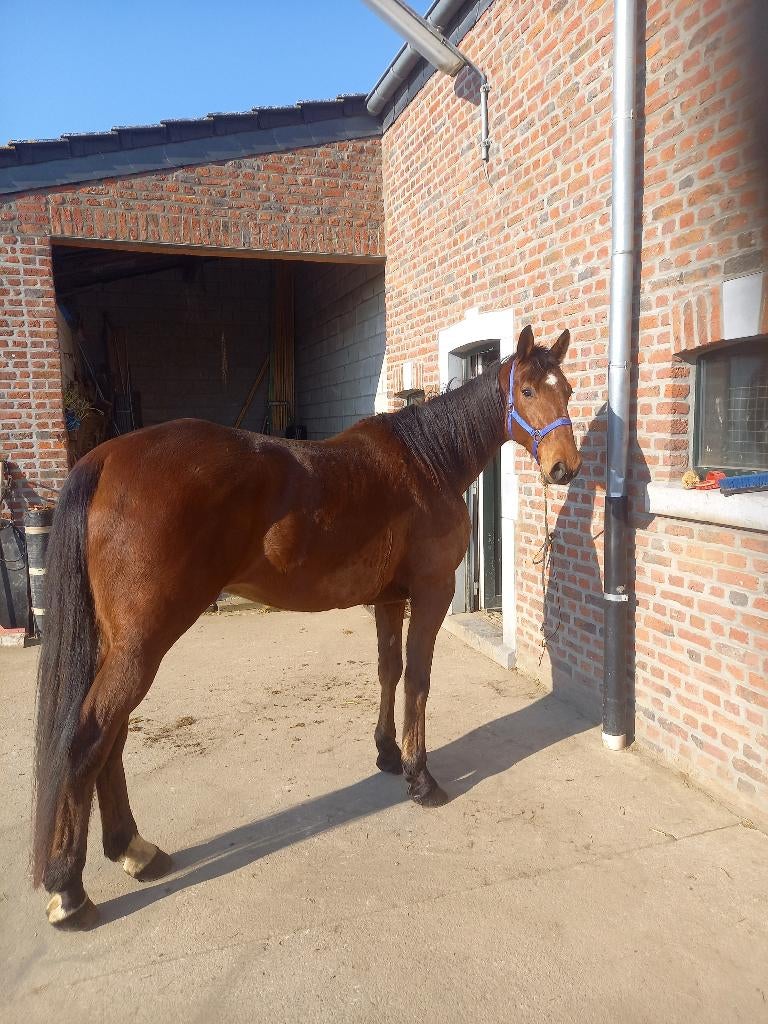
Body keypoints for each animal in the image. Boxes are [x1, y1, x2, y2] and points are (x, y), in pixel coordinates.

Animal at [32, 323, 581, 929]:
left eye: (568, 391)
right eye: (527, 391)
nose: (565, 467)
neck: (426, 463)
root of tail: (107, 457)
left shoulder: (389, 600)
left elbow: (388, 672)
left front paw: (388, 755)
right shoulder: (430, 596)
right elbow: (417, 681)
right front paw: (420, 778)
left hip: (122, 645)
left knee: (114, 737)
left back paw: (135, 850)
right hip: (141, 645)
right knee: (89, 739)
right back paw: (70, 891)